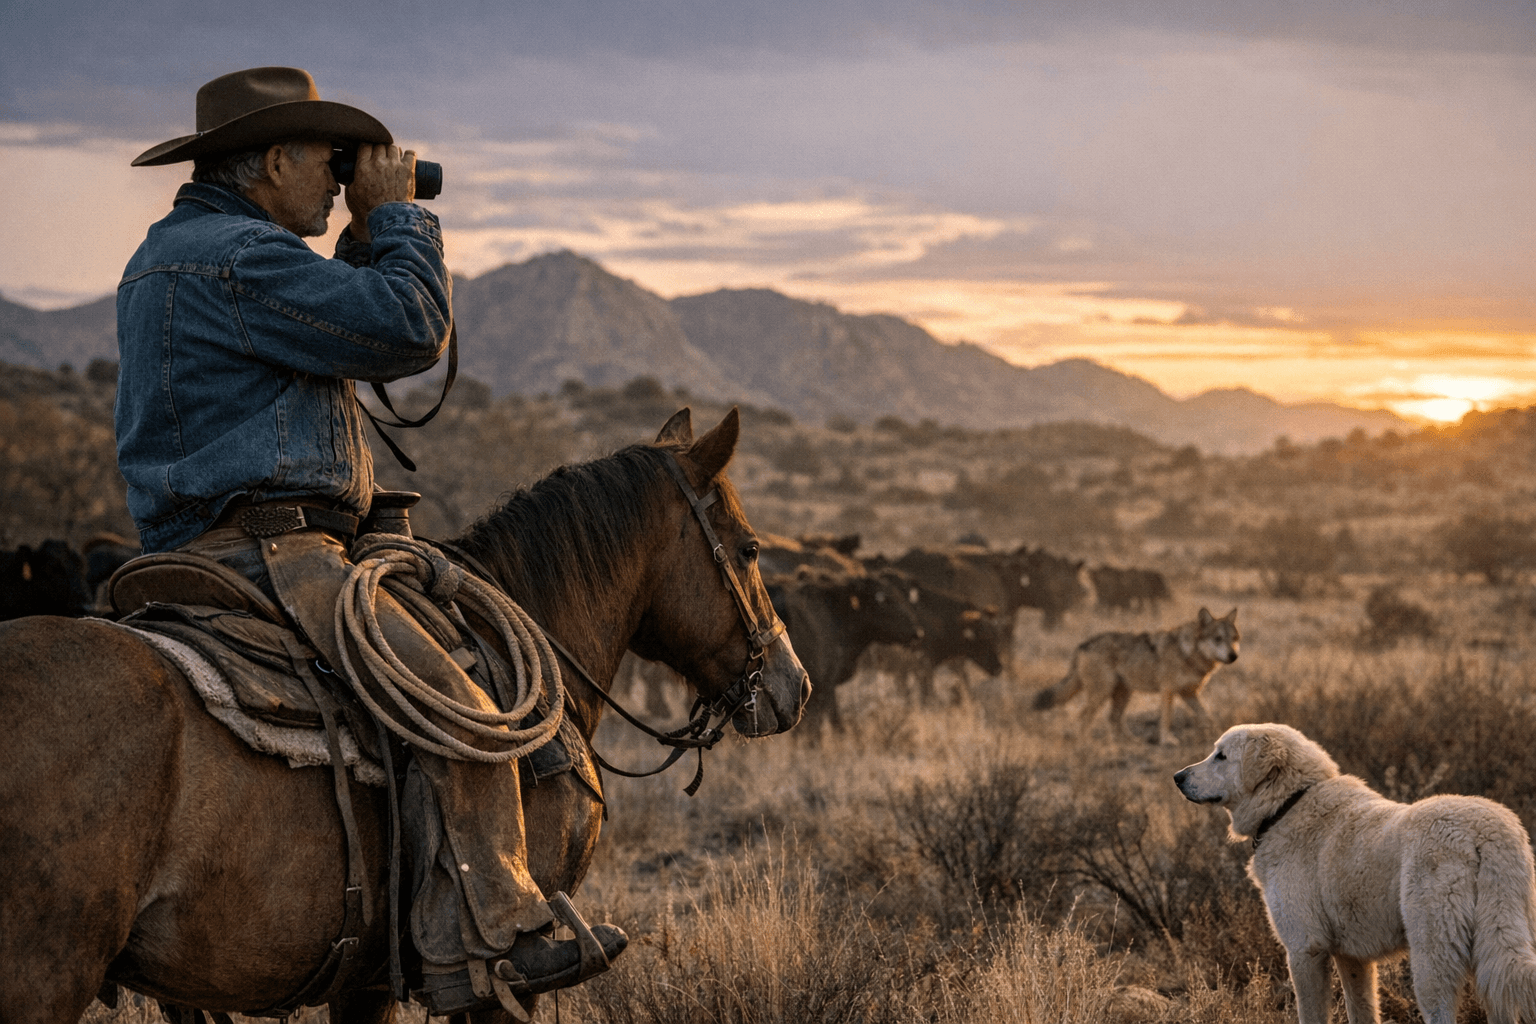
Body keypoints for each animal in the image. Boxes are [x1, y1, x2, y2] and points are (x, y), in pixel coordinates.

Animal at [1033, 607, 1238, 745]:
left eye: (1234, 639)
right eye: (1218, 639)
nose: (1233, 656)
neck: (1189, 653)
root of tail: (1083, 644)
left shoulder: (1189, 694)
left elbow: (1207, 717)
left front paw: (1222, 738)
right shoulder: (1168, 690)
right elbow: (1167, 718)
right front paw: (1167, 740)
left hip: (1124, 693)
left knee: (1113, 719)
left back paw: (1132, 742)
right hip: (1103, 692)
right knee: (1084, 716)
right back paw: (1085, 744)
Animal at [1176, 724, 1536, 1024]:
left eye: (1221, 756)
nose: (1178, 777)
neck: (1287, 806)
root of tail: (1485, 834)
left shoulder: (1305, 950)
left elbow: (1311, 1015)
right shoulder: (1352, 958)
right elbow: (1361, 1009)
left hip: (1433, 959)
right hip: (1495, 948)